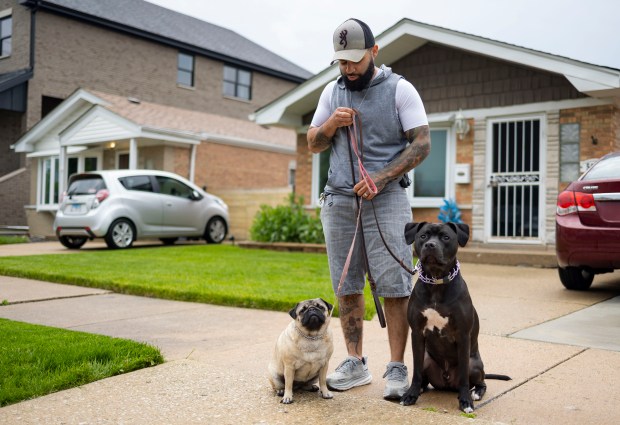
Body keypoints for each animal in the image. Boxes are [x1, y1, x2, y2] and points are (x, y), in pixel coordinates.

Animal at [400, 222, 512, 410]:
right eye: (423, 236)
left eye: (445, 237)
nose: (430, 245)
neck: (436, 282)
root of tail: (446, 382)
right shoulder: (416, 332)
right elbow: (415, 371)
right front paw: (411, 395)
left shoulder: (463, 335)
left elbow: (464, 377)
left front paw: (465, 400)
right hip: (426, 359)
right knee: (424, 378)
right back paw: (421, 388)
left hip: (474, 364)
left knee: (480, 381)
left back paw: (475, 393)